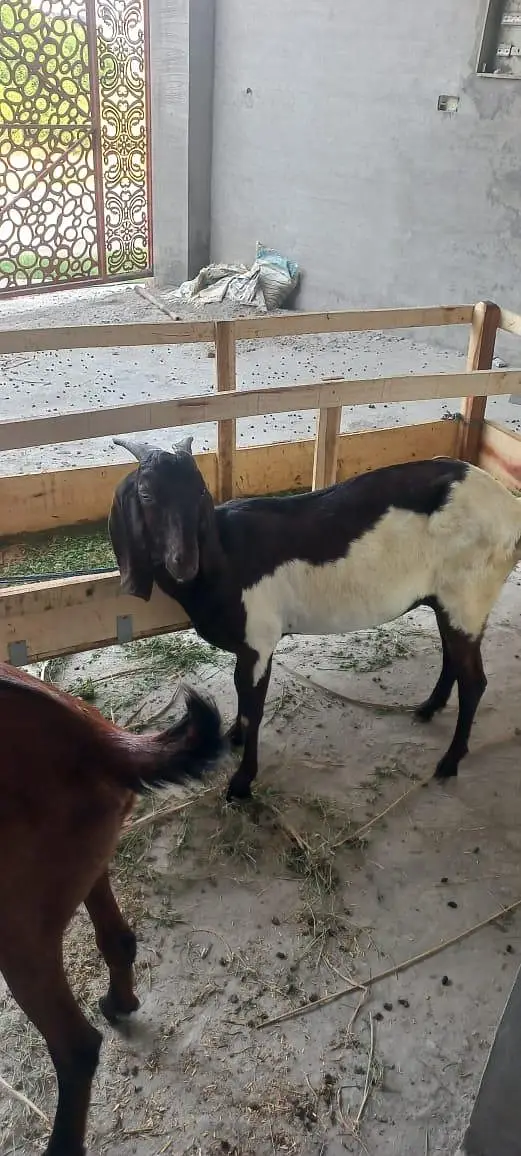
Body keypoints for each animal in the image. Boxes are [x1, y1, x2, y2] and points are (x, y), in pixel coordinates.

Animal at [0, 665, 222, 1156]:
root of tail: (91, 738)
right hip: (84, 868)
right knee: (118, 940)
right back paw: (119, 1002)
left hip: (16, 930)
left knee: (77, 1047)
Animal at [109, 436, 521, 803]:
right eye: (146, 495)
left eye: (199, 492)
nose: (185, 562)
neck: (225, 556)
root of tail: (509, 507)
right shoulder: (249, 649)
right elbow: (242, 701)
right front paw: (233, 738)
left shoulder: (258, 642)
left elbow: (253, 709)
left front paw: (241, 783)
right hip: (451, 602)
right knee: (453, 657)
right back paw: (428, 709)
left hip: (467, 596)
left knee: (475, 682)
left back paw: (449, 762)